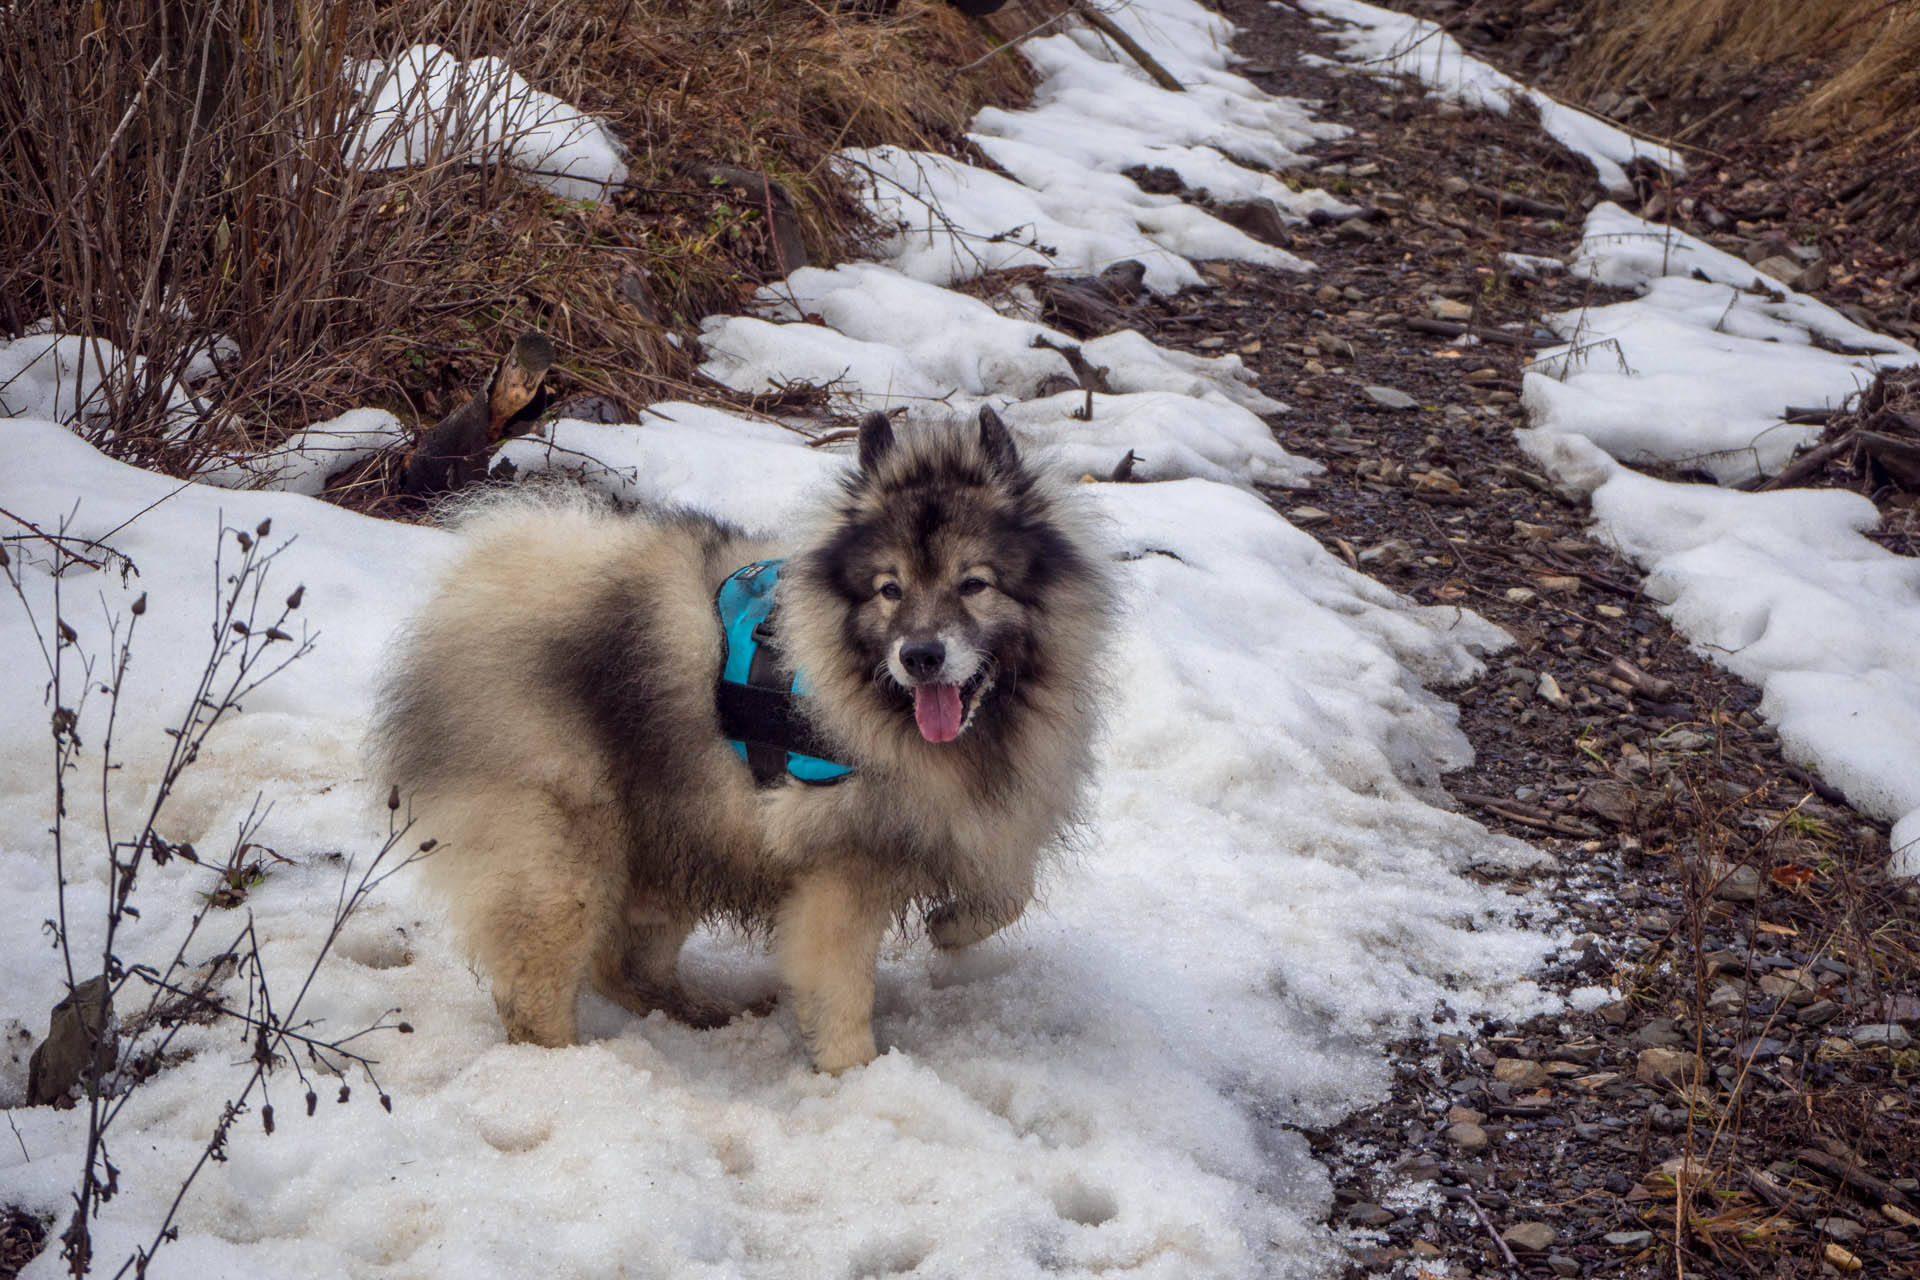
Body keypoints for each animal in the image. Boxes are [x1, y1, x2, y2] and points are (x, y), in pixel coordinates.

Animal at [368, 410, 1113, 1074]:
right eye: (889, 590)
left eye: (974, 583)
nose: (921, 656)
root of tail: (485, 581)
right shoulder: (841, 867)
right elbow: (840, 991)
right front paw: (855, 1076)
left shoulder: (973, 819)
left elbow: (1008, 893)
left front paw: (948, 927)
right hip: (566, 852)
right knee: (538, 986)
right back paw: (575, 1070)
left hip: (677, 827)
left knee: (622, 960)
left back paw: (698, 1014)